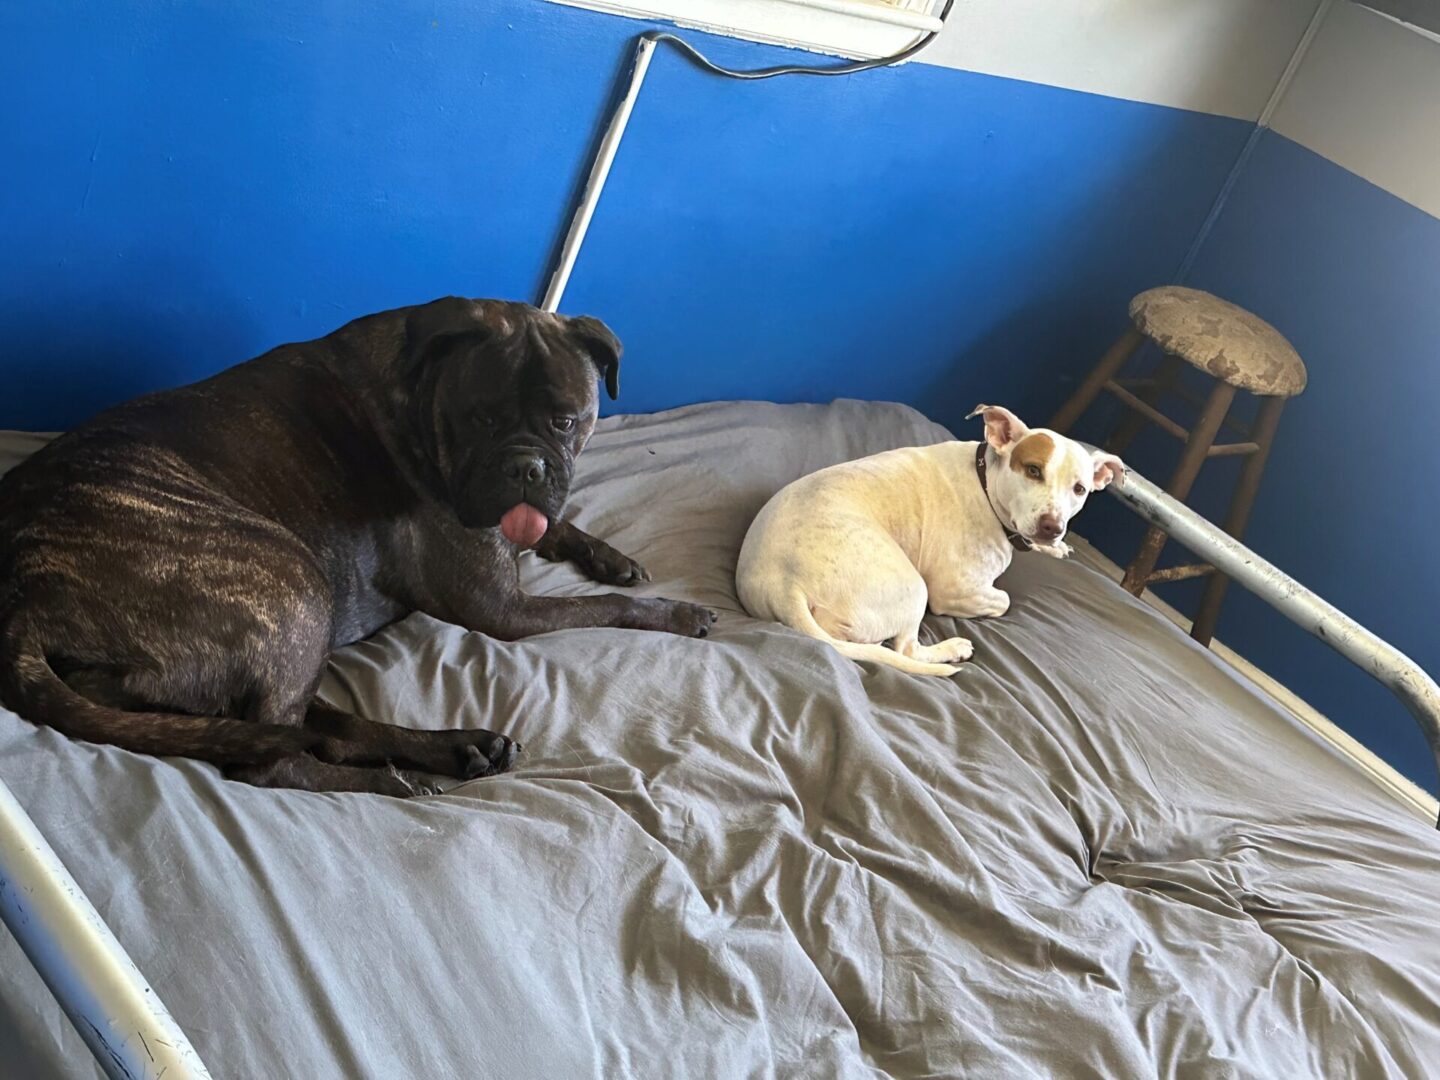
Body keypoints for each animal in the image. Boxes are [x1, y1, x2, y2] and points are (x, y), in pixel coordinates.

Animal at [0, 296, 717, 794]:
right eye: (480, 419)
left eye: (566, 421)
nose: (526, 467)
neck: (421, 391)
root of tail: (20, 604)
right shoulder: (502, 609)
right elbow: (607, 610)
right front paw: (678, 614)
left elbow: (560, 528)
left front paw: (609, 555)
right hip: (293, 585)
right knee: (273, 758)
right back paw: (400, 780)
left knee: (304, 726)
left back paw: (462, 748)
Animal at [743, 406, 1123, 676]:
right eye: (1033, 470)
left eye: (1080, 489)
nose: (1051, 527)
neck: (985, 480)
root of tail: (785, 583)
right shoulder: (955, 589)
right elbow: (1003, 600)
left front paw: (1056, 547)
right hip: (914, 586)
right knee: (906, 650)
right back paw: (951, 649)